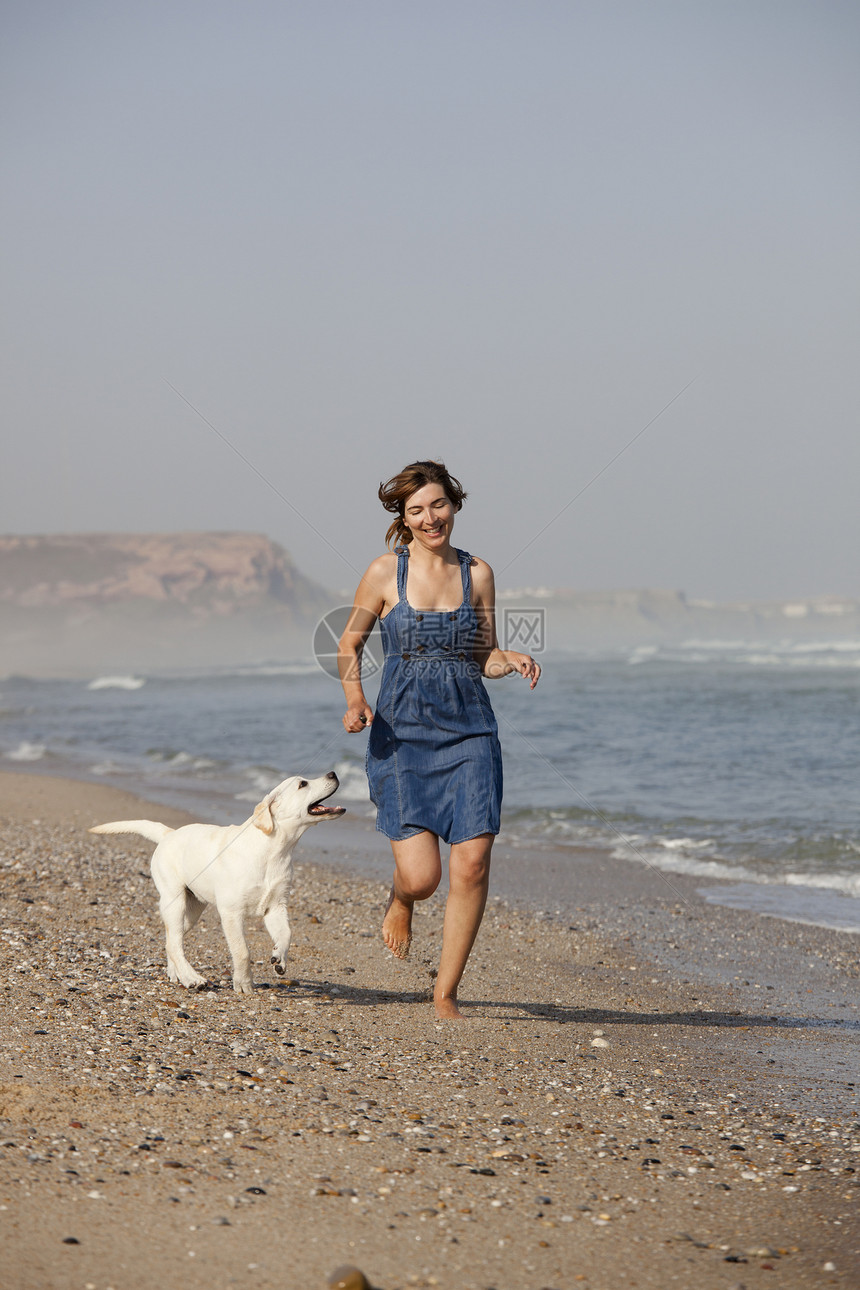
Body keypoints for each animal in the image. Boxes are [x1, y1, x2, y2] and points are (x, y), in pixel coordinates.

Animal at [87, 768, 342, 990]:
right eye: (302, 784)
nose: (333, 773)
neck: (274, 850)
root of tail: (169, 834)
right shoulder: (231, 912)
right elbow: (242, 951)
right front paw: (243, 984)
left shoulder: (276, 906)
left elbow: (287, 934)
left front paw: (279, 957)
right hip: (174, 899)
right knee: (174, 942)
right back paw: (192, 978)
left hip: (192, 909)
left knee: (171, 939)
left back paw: (176, 973)